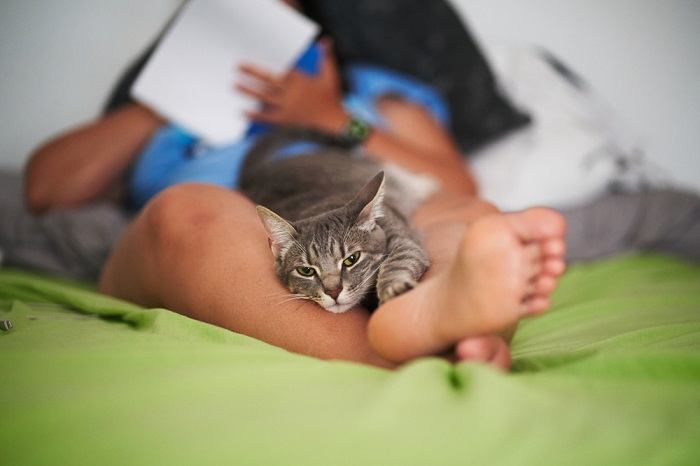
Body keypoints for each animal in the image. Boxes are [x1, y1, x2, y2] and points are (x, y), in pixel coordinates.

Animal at [242, 128, 438, 314]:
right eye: (306, 271)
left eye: (351, 259)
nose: (333, 291)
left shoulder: (402, 239)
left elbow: (399, 260)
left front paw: (393, 288)